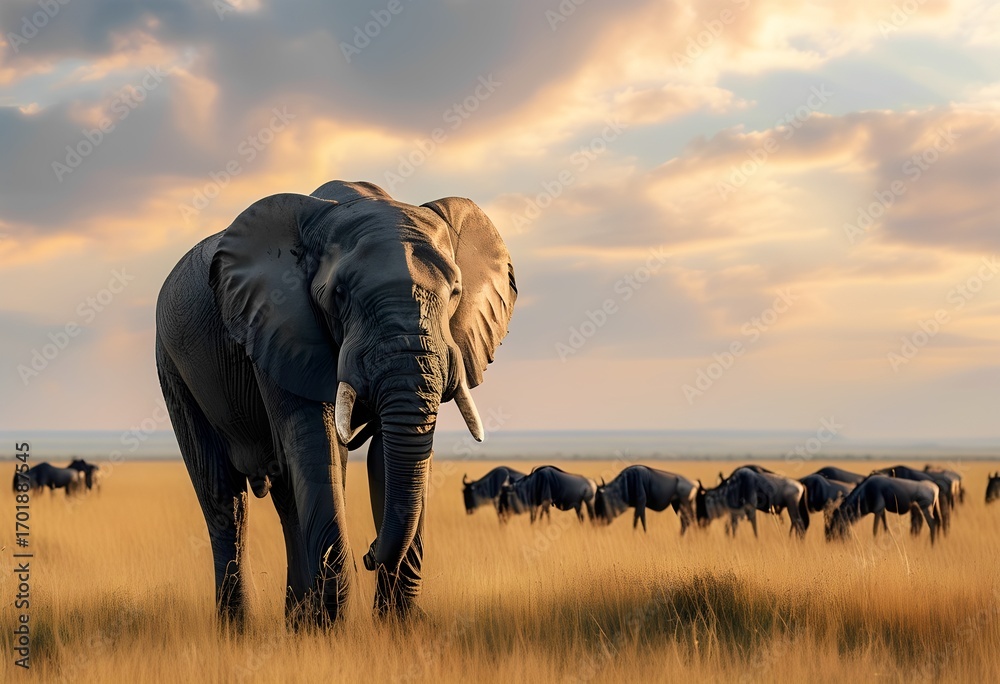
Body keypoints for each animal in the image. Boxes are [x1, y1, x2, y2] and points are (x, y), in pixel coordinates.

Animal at [155, 180, 517, 626]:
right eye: (340, 294)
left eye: (455, 292)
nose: (369, 553)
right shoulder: (280, 327)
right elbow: (316, 443)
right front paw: (331, 629)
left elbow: (386, 456)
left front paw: (395, 627)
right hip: (172, 365)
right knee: (225, 498)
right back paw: (240, 630)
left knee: (287, 492)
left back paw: (296, 624)